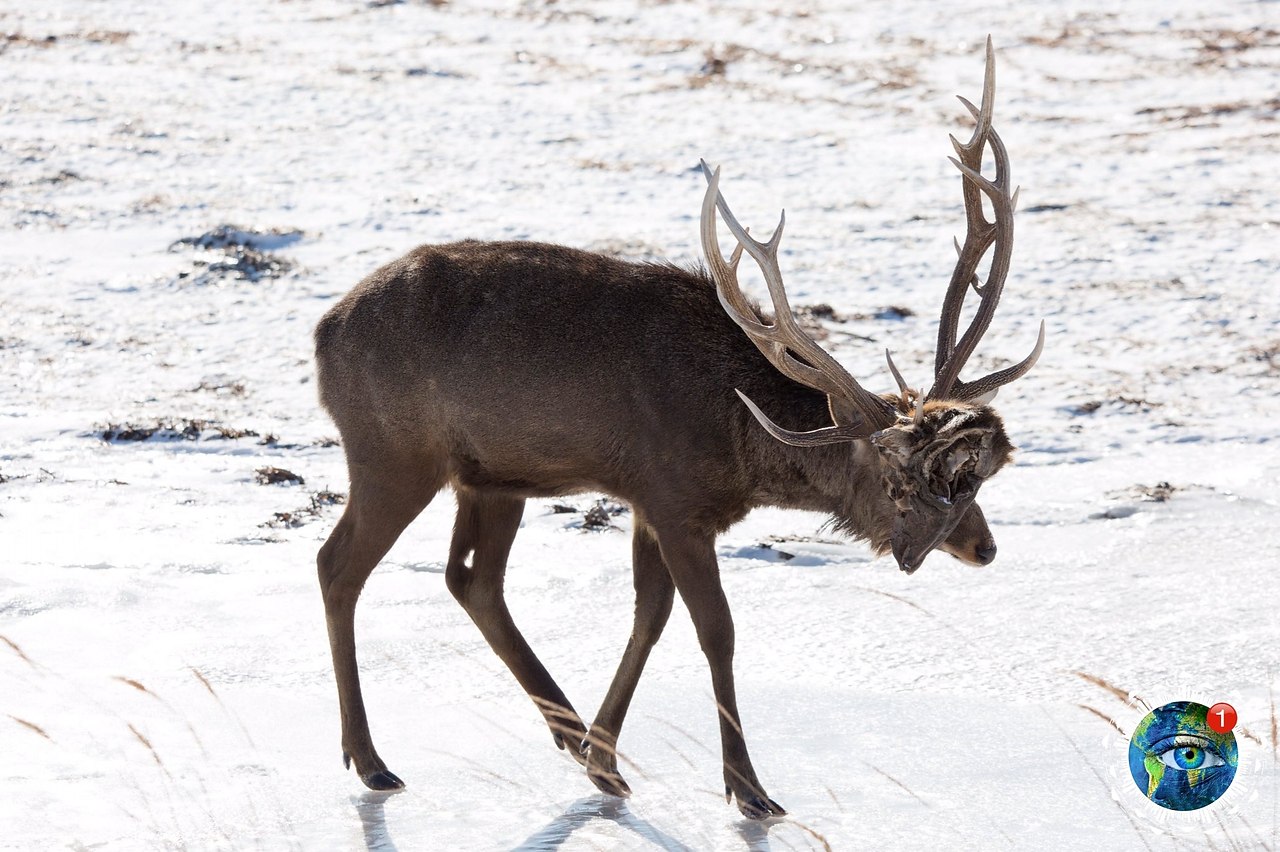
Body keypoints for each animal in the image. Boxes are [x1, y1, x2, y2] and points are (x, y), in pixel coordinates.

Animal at [309, 38, 1039, 818]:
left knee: (472, 578)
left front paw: (605, 760)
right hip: (390, 452)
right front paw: (749, 788)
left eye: (972, 479)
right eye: (901, 479)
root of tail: (323, 336)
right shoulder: (674, 499)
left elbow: (649, 618)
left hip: (492, 477)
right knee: (338, 565)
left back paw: (565, 733)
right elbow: (715, 630)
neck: (738, 444)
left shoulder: (647, 502)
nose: (984, 545)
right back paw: (371, 760)